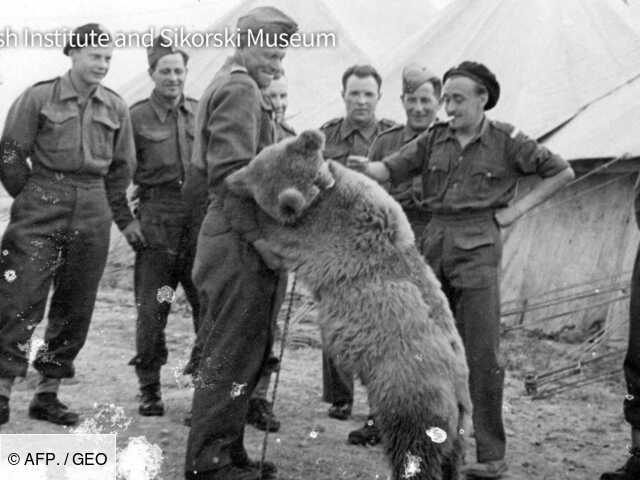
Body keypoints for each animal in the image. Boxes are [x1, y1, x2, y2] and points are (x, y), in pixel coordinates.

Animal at [224, 129, 470, 478]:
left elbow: (279, 233)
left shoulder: (321, 234)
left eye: (252, 170)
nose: (229, 179)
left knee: (412, 448)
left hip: (411, 393)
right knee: (450, 459)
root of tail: (460, 394)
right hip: (456, 426)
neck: (322, 193)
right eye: (257, 158)